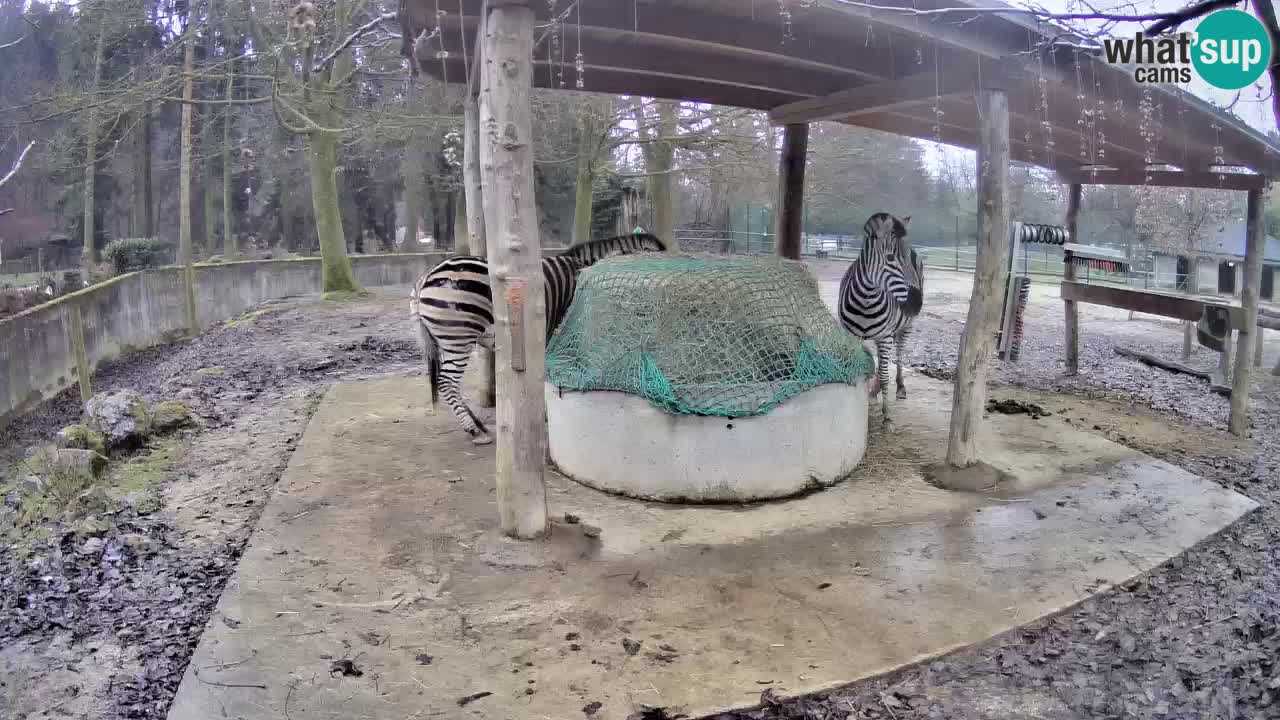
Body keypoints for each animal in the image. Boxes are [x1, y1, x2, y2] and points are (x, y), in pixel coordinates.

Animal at [412, 233, 670, 440]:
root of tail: (424, 277)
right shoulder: (565, 334)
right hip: (459, 336)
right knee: (447, 382)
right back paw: (473, 429)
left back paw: (476, 424)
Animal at [839, 210, 921, 422]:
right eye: (890, 258)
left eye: (908, 258)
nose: (917, 303)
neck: (866, 300)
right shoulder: (851, 336)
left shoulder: (885, 336)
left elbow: (884, 374)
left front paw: (886, 416)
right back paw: (874, 391)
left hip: (904, 327)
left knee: (898, 353)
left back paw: (900, 387)